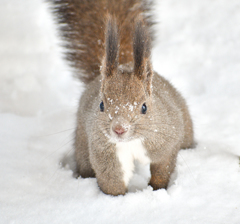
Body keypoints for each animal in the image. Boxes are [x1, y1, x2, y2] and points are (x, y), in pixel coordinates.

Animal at [49, 0, 194, 195]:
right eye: (101, 105)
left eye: (144, 107)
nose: (119, 129)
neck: (131, 142)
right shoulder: (104, 151)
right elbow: (112, 179)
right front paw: (117, 199)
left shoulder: (166, 141)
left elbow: (163, 167)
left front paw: (156, 188)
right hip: (82, 143)